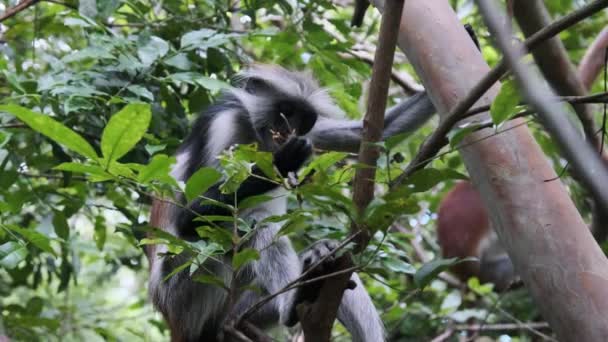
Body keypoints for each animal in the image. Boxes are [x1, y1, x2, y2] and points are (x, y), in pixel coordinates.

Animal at [147, 65, 440, 342]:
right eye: (285, 111)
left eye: (304, 119)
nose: (287, 131)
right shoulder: (222, 126)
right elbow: (189, 220)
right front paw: (282, 162)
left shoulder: (309, 134)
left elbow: (374, 131)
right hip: (188, 285)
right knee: (254, 223)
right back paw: (294, 302)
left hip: (244, 307)